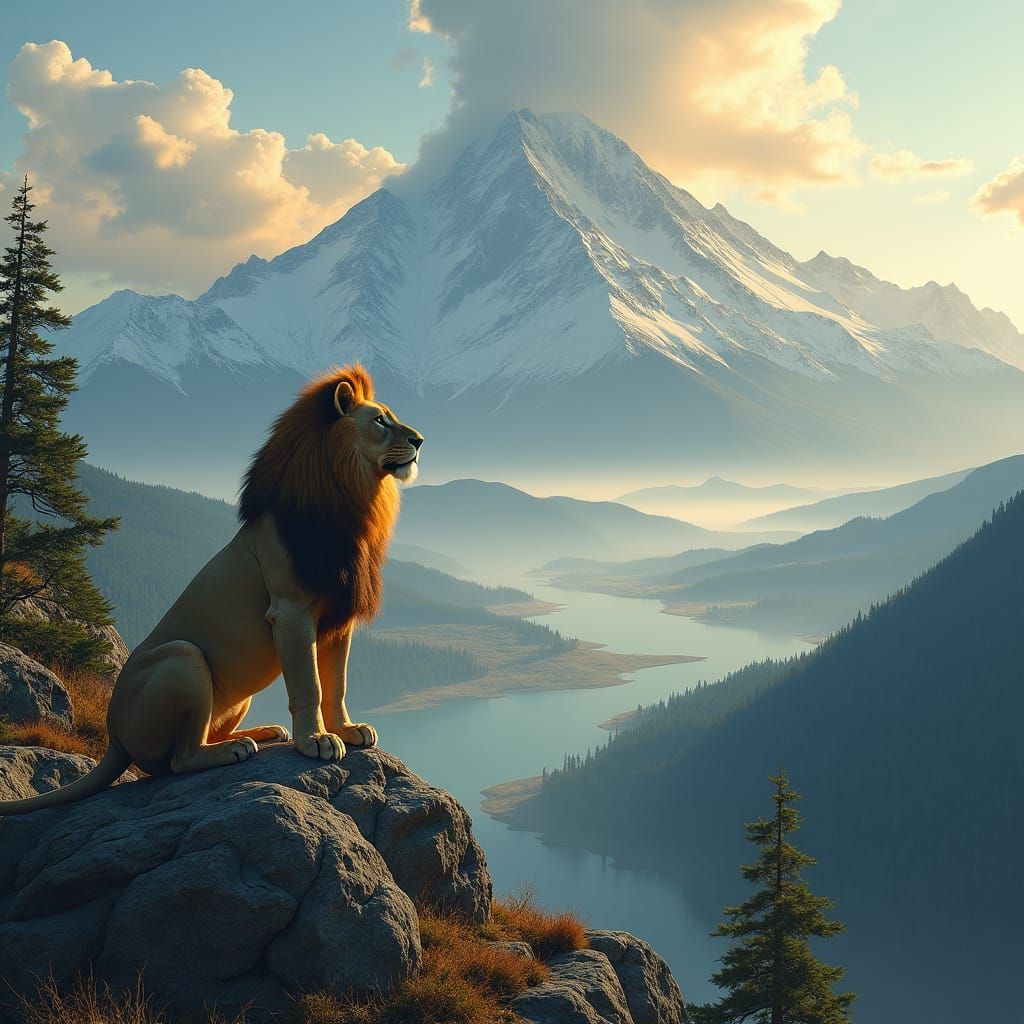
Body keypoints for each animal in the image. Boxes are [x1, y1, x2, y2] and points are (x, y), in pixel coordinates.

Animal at [0, 365, 423, 815]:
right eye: (380, 421)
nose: (419, 440)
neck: (352, 501)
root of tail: (114, 738)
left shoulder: (339, 618)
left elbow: (337, 684)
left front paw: (347, 729)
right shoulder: (290, 613)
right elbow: (309, 684)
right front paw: (316, 741)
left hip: (236, 694)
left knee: (205, 736)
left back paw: (259, 734)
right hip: (183, 659)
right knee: (177, 759)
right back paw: (233, 751)